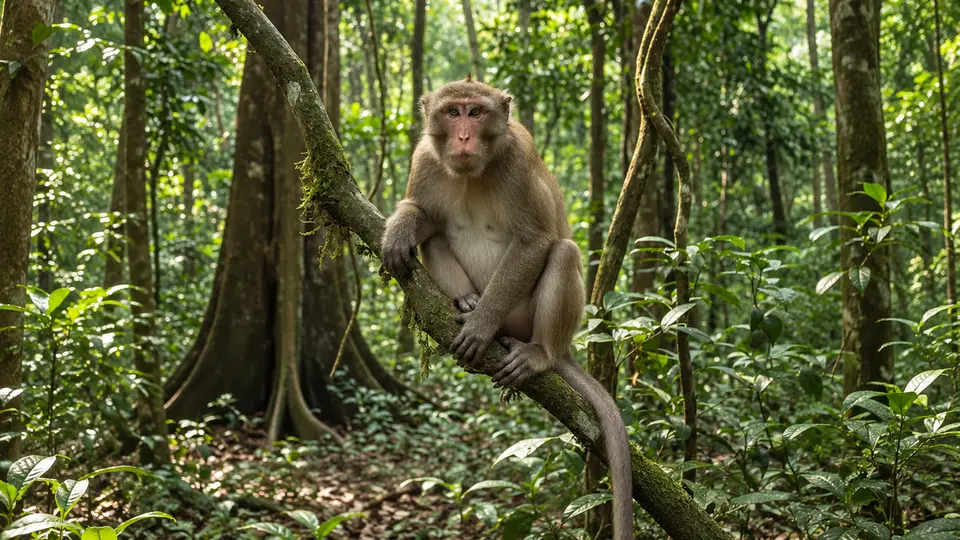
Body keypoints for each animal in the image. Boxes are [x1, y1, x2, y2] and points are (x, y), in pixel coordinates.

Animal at [381, 76, 633, 540]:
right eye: (452, 112)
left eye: (476, 112)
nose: (464, 137)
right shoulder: (424, 159)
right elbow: (427, 220)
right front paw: (401, 226)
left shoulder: (518, 162)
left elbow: (534, 241)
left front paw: (480, 327)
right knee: (436, 238)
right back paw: (465, 299)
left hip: (530, 319)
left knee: (563, 253)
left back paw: (536, 353)